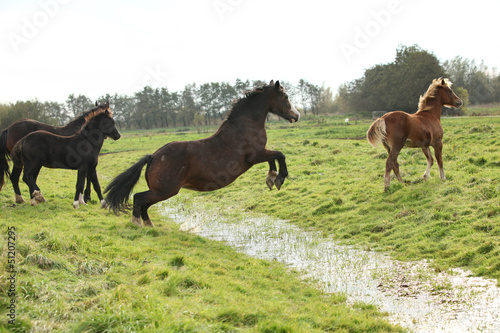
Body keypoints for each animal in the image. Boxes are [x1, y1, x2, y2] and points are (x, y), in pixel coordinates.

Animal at [105, 80, 298, 226]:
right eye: (285, 97)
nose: (296, 116)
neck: (245, 125)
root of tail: (153, 157)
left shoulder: (260, 154)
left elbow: (273, 158)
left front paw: (271, 178)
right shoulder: (255, 156)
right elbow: (279, 155)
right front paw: (279, 179)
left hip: (161, 191)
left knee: (144, 204)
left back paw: (149, 225)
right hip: (165, 190)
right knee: (139, 199)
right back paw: (137, 224)